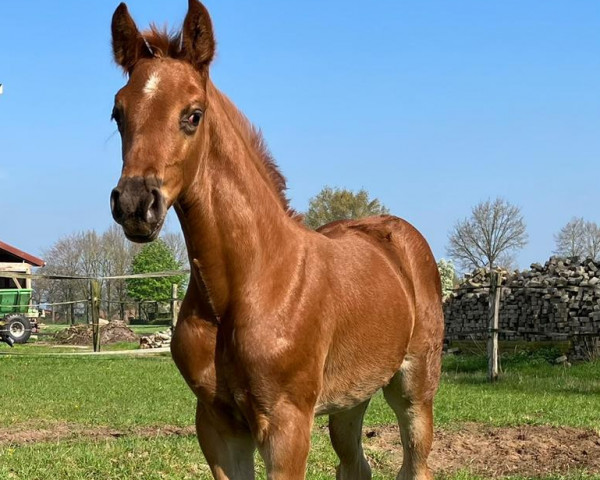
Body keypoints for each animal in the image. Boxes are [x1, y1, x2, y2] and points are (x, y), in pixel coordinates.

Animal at [110, 1, 442, 478]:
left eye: (193, 114)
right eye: (118, 113)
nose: (137, 204)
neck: (247, 283)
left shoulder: (287, 425)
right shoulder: (217, 426)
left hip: (415, 388)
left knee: (415, 460)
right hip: (351, 398)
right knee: (355, 464)